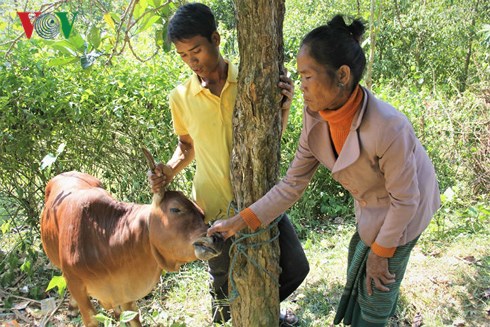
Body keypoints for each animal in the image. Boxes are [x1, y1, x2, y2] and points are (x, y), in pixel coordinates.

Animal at [40, 170, 224, 326]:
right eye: (175, 209)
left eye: (202, 213)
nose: (216, 239)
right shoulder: (76, 285)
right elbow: (91, 317)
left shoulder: (126, 288)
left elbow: (133, 318)